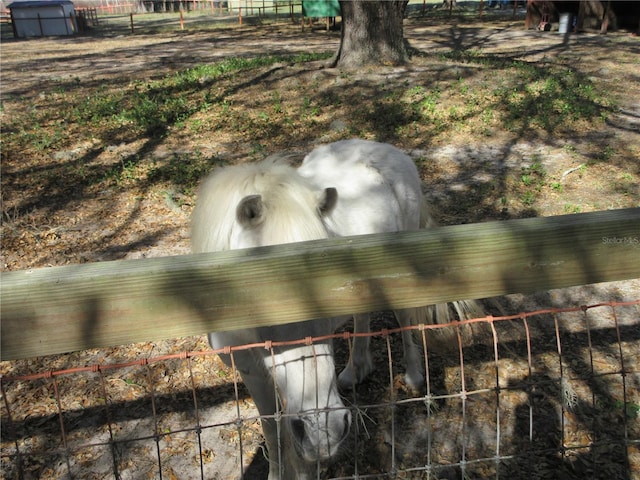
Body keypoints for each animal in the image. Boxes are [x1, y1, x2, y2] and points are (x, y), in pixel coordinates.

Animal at [190, 137, 480, 478]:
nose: (325, 430)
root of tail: (384, 148)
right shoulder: (250, 370)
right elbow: (272, 431)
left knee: (405, 319)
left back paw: (413, 378)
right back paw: (355, 371)